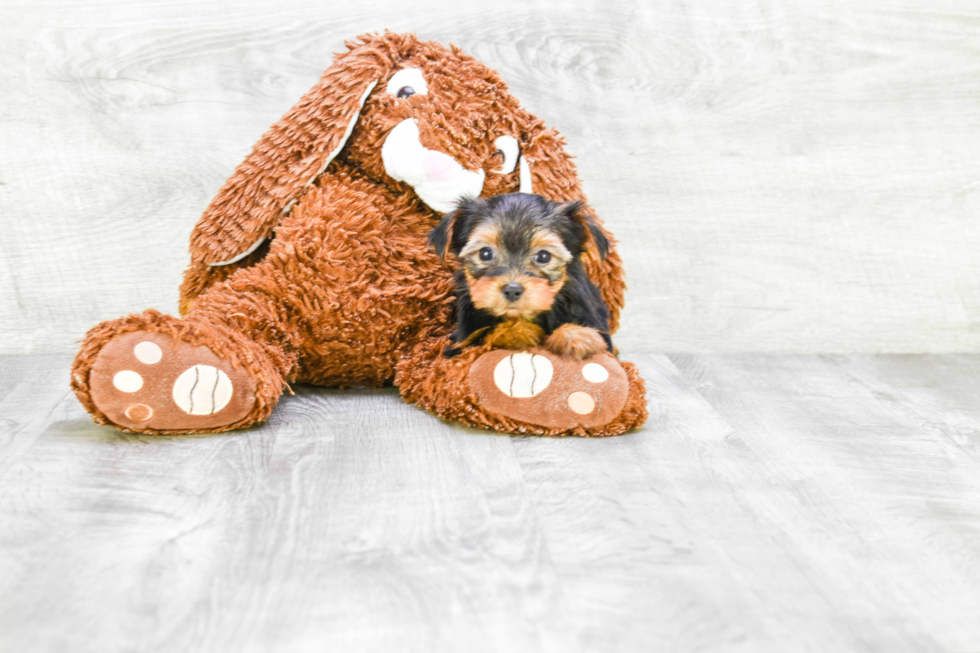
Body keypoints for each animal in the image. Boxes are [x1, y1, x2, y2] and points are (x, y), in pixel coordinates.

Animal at [428, 191, 612, 360]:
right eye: (485, 253)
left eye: (543, 256)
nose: (512, 289)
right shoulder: (461, 342)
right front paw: (516, 331)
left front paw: (576, 335)